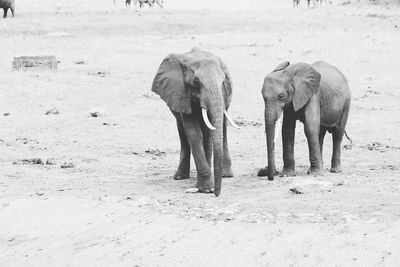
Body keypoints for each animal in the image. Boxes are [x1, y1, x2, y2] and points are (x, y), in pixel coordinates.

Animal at [152, 47, 239, 197]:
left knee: (222, 128)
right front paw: (207, 188)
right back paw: (180, 176)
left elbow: (208, 134)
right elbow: (195, 134)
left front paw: (205, 187)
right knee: (182, 131)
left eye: (222, 82)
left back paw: (226, 175)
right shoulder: (181, 94)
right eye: (196, 82)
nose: (217, 194)